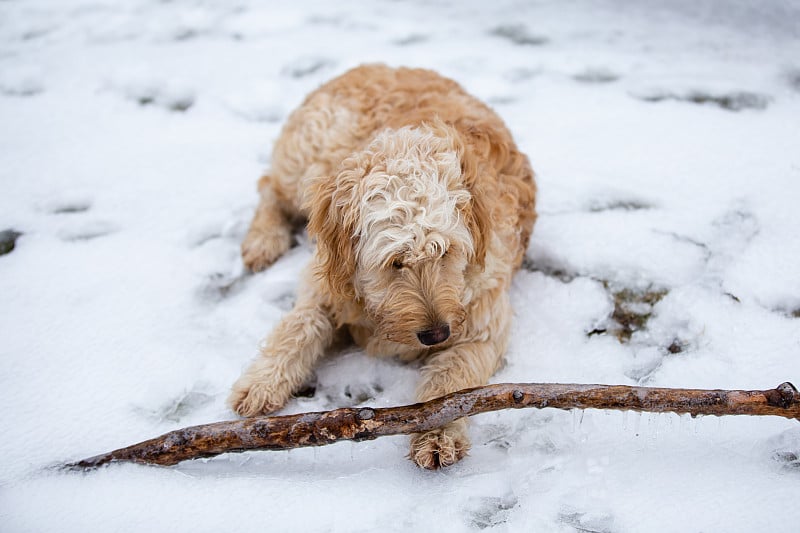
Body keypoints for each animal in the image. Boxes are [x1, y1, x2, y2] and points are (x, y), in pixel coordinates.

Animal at [227, 64, 536, 468]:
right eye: (396, 262)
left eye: (446, 252)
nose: (436, 334)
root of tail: (368, 66)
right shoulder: (328, 277)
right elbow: (300, 324)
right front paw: (261, 381)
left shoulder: (482, 325)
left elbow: (452, 382)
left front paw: (437, 433)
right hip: (306, 163)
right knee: (270, 188)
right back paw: (263, 240)